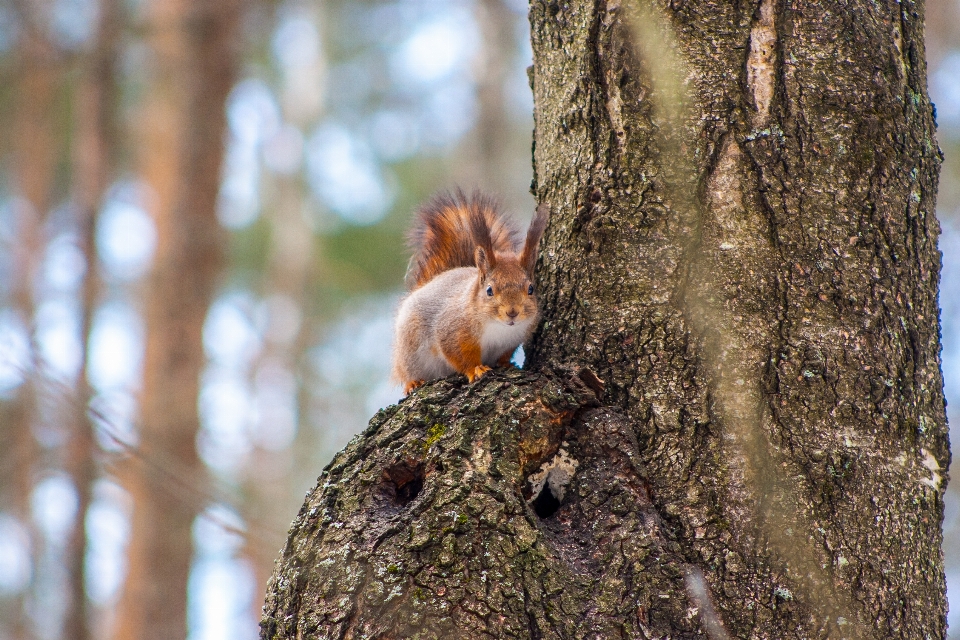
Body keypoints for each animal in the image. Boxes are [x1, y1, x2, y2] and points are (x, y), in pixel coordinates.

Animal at [392, 189, 548, 396]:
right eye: (489, 290)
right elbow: (458, 355)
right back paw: (413, 382)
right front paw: (475, 369)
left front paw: (506, 364)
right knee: (407, 371)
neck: (498, 327)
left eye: (531, 289)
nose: (512, 312)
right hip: (409, 348)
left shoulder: (512, 340)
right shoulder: (452, 330)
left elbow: (504, 355)